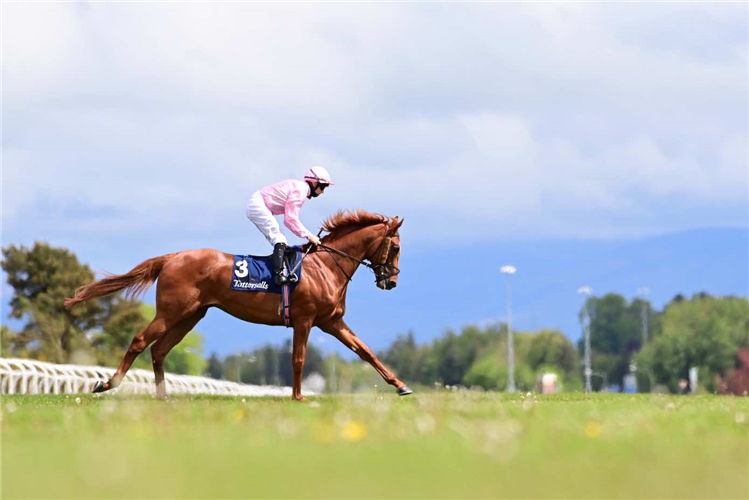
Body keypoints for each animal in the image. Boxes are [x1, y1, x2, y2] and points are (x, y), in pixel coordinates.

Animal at [65, 209, 412, 400]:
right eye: (395, 247)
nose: (391, 282)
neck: (326, 266)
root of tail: (173, 257)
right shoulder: (304, 320)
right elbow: (298, 359)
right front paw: (298, 396)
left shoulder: (331, 321)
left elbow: (366, 351)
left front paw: (401, 385)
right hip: (171, 311)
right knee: (140, 341)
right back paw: (108, 383)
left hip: (191, 315)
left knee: (159, 349)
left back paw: (163, 396)